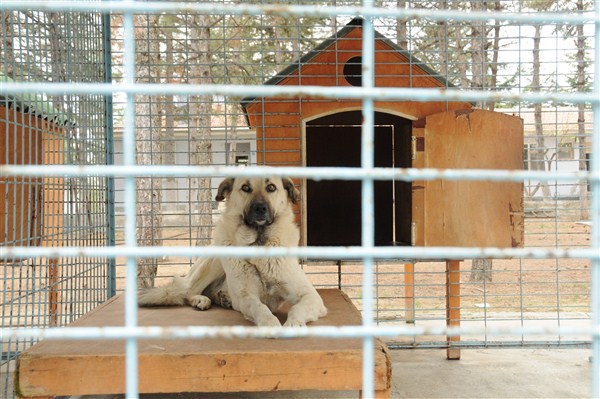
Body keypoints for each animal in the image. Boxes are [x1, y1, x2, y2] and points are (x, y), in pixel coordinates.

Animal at [138, 177, 326, 328]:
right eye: (245, 188)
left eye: (271, 187)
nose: (260, 208)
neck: (258, 245)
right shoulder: (247, 297)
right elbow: (260, 308)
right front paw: (269, 322)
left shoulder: (310, 296)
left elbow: (297, 308)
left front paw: (294, 323)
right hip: (214, 261)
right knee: (187, 291)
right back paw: (201, 299)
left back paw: (222, 298)